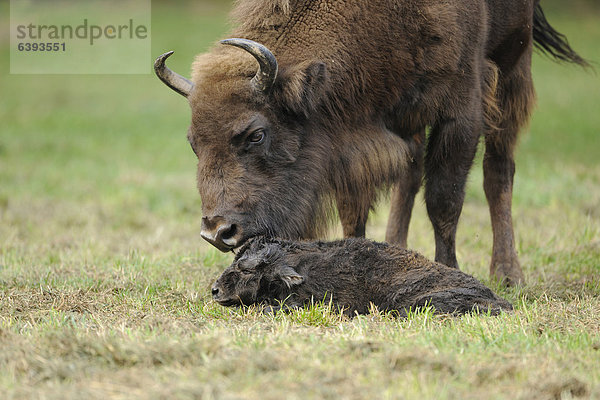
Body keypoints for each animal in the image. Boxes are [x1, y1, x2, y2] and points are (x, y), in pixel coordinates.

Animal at [155, 0, 584, 284]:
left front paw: (450, 270)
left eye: (256, 134)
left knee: (498, 172)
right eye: (194, 143)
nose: (217, 232)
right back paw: (398, 247)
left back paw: (508, 275)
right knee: (409, 177)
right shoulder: (355, 136)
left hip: (512, 70)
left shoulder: (461, 112)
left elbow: (445, 200)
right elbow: (355, 208)